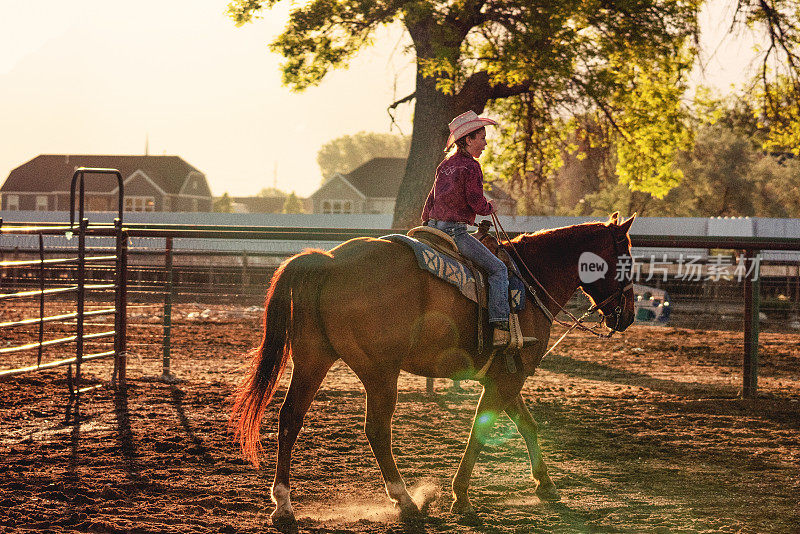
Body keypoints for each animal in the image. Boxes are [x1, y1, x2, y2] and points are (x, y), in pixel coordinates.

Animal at [231, 211, 636, 528]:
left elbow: (527, 425)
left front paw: (546, 485)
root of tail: (328, 261)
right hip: (380, 373)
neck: (529, 278)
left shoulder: (505, 377)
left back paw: (284, 505)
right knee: (377, 430)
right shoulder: (507, 380)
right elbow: (480, 432)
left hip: (313, 360)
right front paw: (461, 498)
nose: (628, 316)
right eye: (628, 261)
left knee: (290, 418)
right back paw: (406, 501)